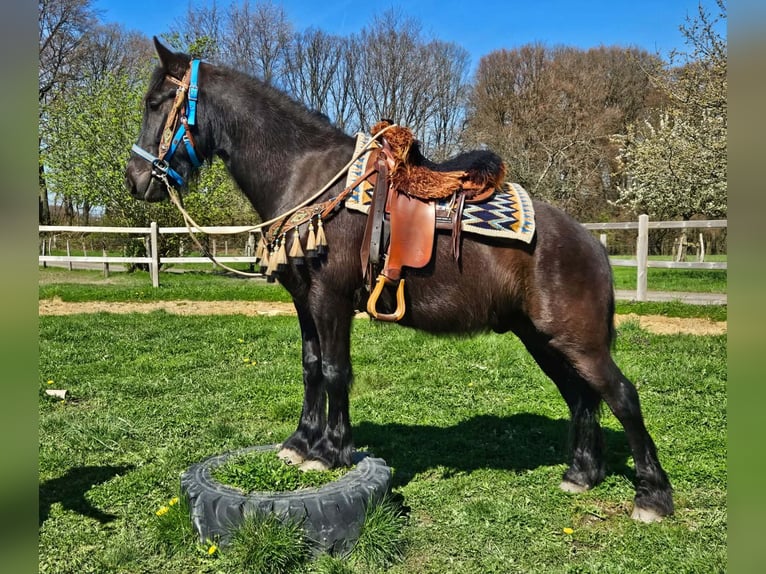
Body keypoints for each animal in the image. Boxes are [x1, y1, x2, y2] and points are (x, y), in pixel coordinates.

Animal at [125, 38, 673, 523]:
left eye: (155, 103)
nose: (135, 179)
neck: (306, 176)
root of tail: (590, 243)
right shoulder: (304, 301)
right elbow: (310, 367)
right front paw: (300, 442)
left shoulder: (330, 299)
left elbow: (335, 371)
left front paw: (331, 450)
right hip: (542, 339)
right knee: (582, 397)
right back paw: (581, 474)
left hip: (577, 340)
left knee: (622, 396)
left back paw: (652, 496)